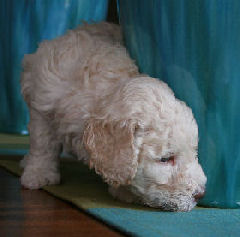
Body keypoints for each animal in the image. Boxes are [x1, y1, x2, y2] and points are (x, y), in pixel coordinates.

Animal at [20, 21, 206, 211]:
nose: (201, 194)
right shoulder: (42, 101)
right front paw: (39, 174)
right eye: (165, 159)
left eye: (194, 152)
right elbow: (43, 143)